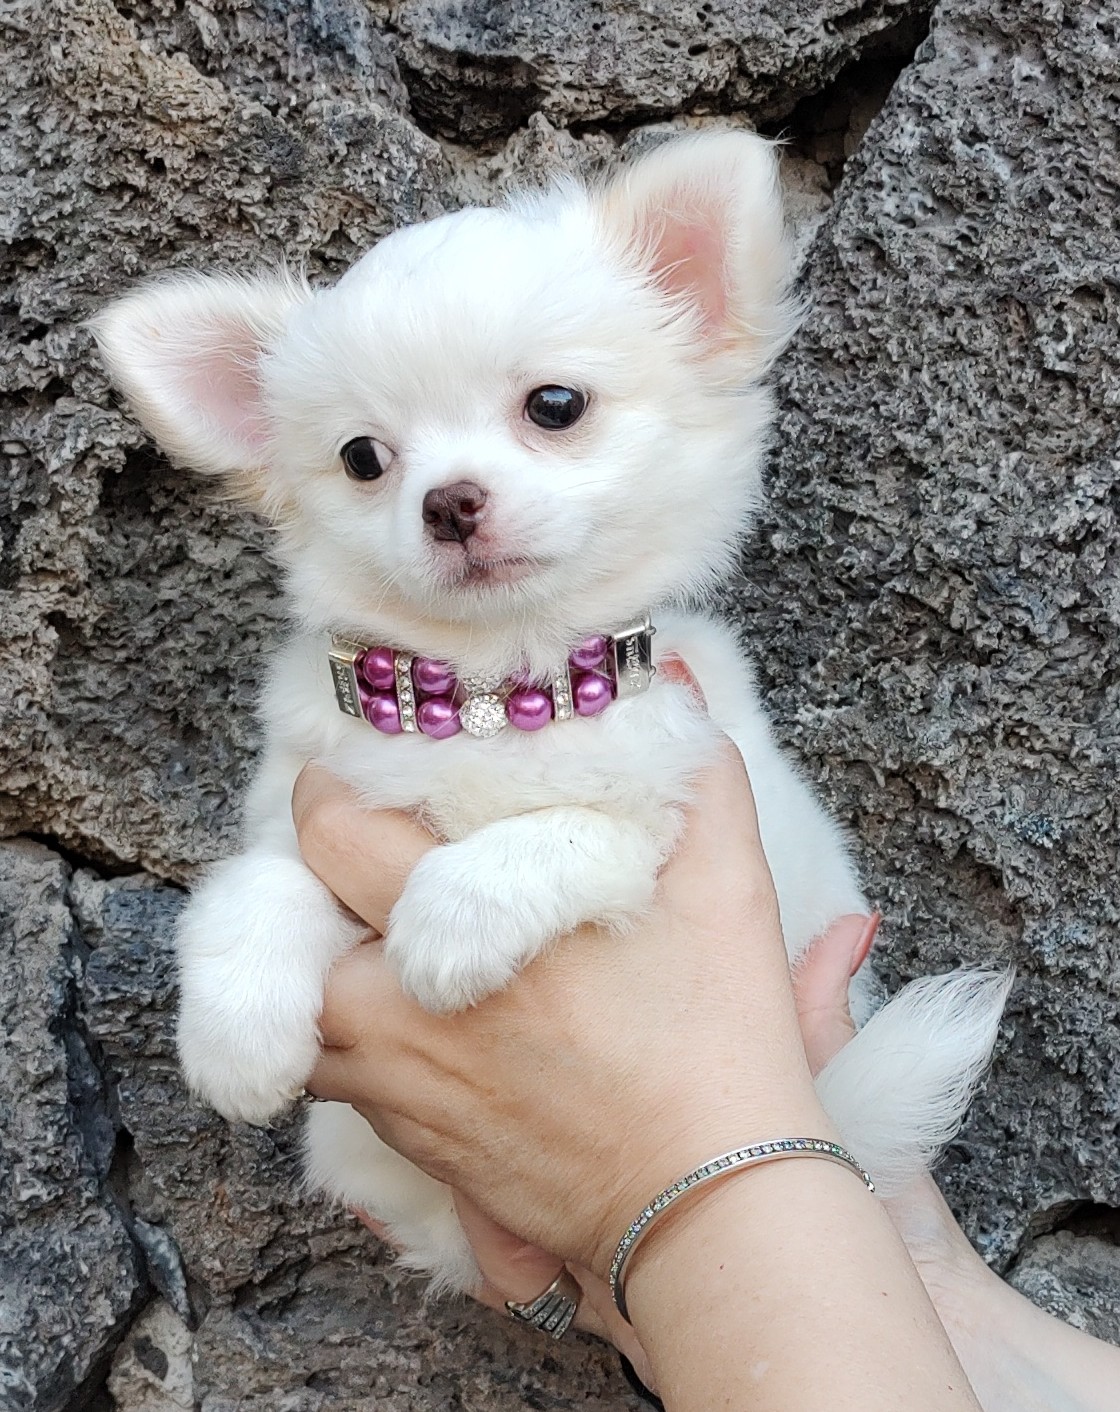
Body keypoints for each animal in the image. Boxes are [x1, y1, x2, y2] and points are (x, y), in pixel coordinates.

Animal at [94, 130, 1009, 1293]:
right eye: (362, 457)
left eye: (555, 406)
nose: (449, 501)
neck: (493, 692)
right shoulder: (309, 799)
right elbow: (256, 887)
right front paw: (235, 1034)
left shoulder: (668, 804)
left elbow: (563, 833)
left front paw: (449, 918)